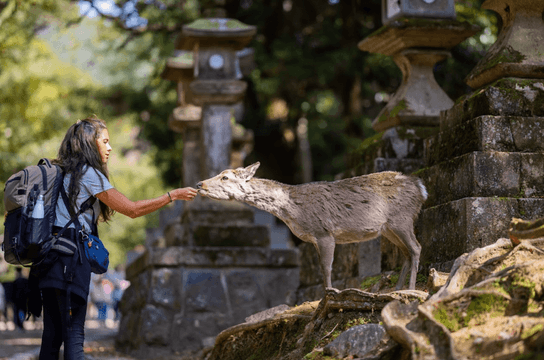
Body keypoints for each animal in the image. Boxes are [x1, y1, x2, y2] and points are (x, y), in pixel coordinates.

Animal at [197, 162, 430, 292]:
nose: (200, 184)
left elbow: (326, 268)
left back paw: (410, 289)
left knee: (416, 247)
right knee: (407, 252)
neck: (292, 210)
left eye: (225, 176)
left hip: (402, 218)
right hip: (389, 228)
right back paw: (396, 289)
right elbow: (321, 267)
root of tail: (421, 188)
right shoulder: (314, 238)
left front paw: (328, 294)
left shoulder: (324, 232)